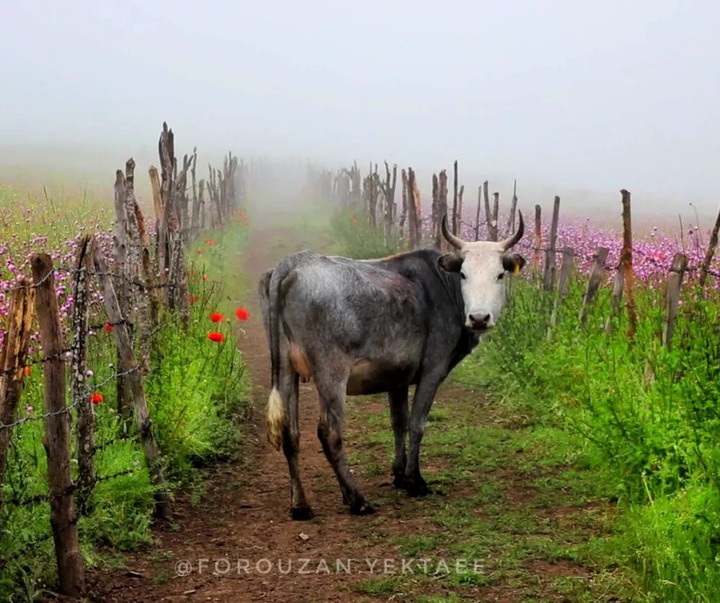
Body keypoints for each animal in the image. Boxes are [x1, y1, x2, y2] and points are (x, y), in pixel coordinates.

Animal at [258, 211, 524, 520]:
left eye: (500, 274)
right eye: (464, 274)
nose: (479, 318)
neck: (442, 288)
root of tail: (293, 263)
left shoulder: (396, 377)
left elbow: (399, 422)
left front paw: (398, 474)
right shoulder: (433, 369)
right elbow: (417, 423)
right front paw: (414, 480)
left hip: (286, 370)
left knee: (291, 433)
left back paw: (300, 504)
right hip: (331, 372)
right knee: (329, 433)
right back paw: (357, 500)